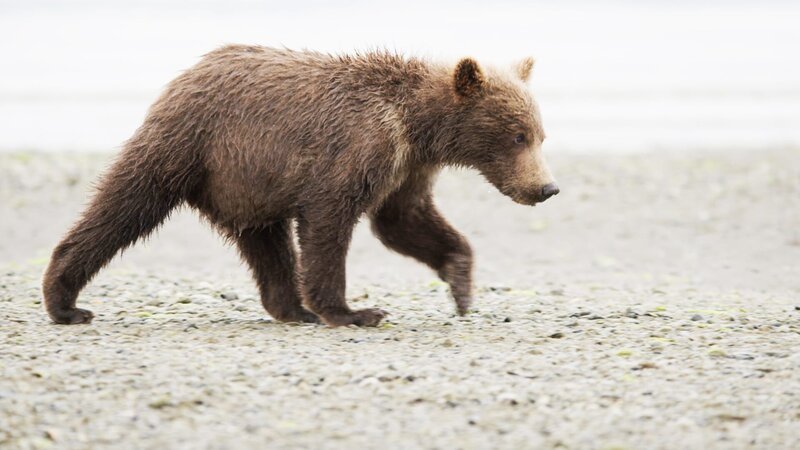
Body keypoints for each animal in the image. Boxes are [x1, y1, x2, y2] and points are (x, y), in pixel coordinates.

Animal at [42, 45, 558, 327]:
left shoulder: (406, 168)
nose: (546, 187)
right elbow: (329, 221)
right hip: (189, 146)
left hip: (247, 186)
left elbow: (404, 221)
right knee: (125, 204)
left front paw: (461, 285)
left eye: (540, 134)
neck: (416, 125)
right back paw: (65, 301)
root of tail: (184, 75)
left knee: (266, 245)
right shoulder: (358, 146)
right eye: (518, 135)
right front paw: (354, 311)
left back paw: (290, 307)